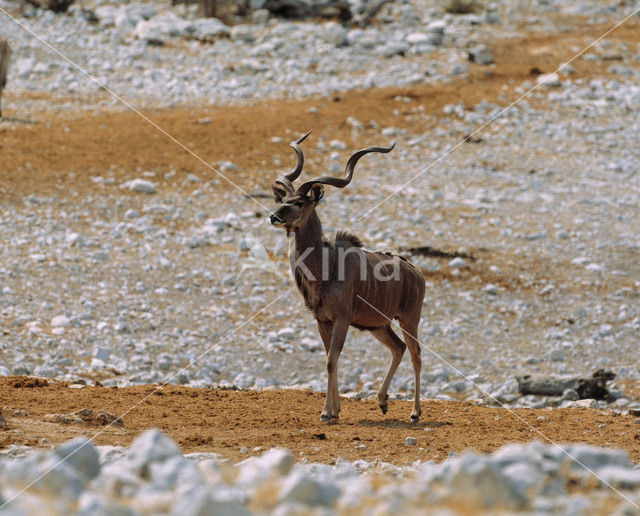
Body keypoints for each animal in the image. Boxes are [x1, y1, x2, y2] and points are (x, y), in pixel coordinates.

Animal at [270, 131, 424, 422]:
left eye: (299, 202)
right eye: (280, 201)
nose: (274, 217)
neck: (326, 268)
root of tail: (416, 272)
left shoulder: (341, 318)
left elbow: (331, 359)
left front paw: (327, 413)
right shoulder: (323, 320)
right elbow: (331, 358)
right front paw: (335, 410)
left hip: (409, 319)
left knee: (415, 353)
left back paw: (415, 412)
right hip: (378, 325)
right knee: (397, 348)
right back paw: (382, 401)